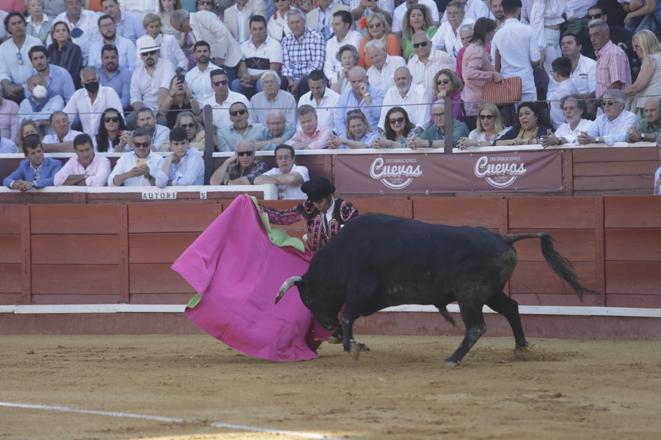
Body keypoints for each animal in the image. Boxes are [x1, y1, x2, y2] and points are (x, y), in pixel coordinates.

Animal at [274, 215, 592, 366]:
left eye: (309, 298)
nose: (325, 325)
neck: (340, 256)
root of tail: (503, 237)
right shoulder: (367, 298)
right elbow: (349, 317)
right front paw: (352, 342)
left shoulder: (361, 291)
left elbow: (348, 314)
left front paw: (350, 345)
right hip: (490, 293)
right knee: (511, 308)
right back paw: (521, 348)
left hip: (470, 295)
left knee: (476, 327)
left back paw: (453, 359)